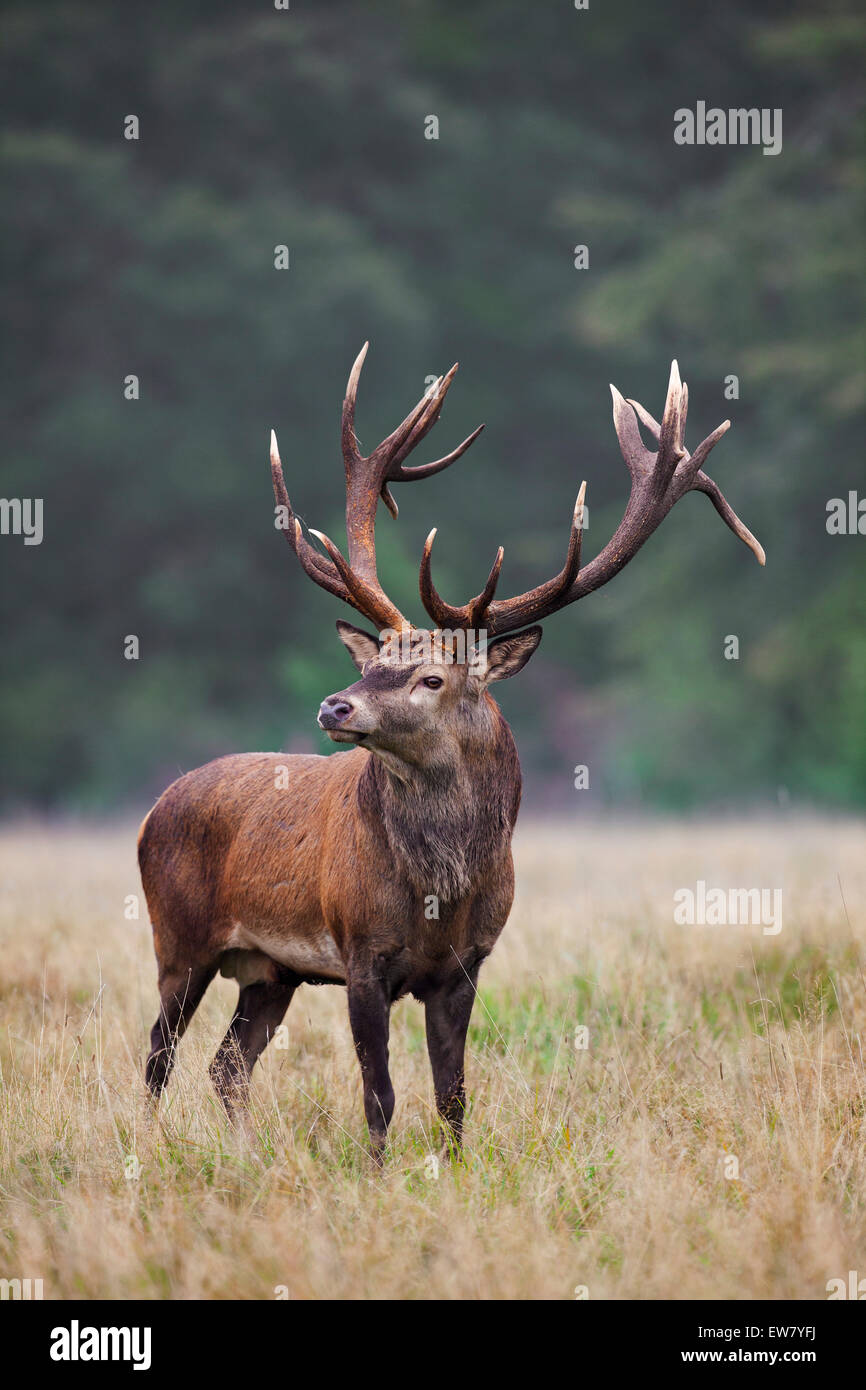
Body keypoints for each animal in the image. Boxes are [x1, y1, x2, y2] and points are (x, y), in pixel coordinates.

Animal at [140, 347, 767, 1162]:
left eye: (431, 677)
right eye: (376, 662)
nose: (334, 706)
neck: (441, 890)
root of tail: (153, 810)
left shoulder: (468, 966)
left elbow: (453, 1096)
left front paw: (458, 1171)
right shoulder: (361, 953)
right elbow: (379, 1096)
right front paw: (378, 1176)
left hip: (271, 970)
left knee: (226, 1066)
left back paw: (245, 1158)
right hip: (178, 938)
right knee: (159, 1056)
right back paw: (141, 1147)